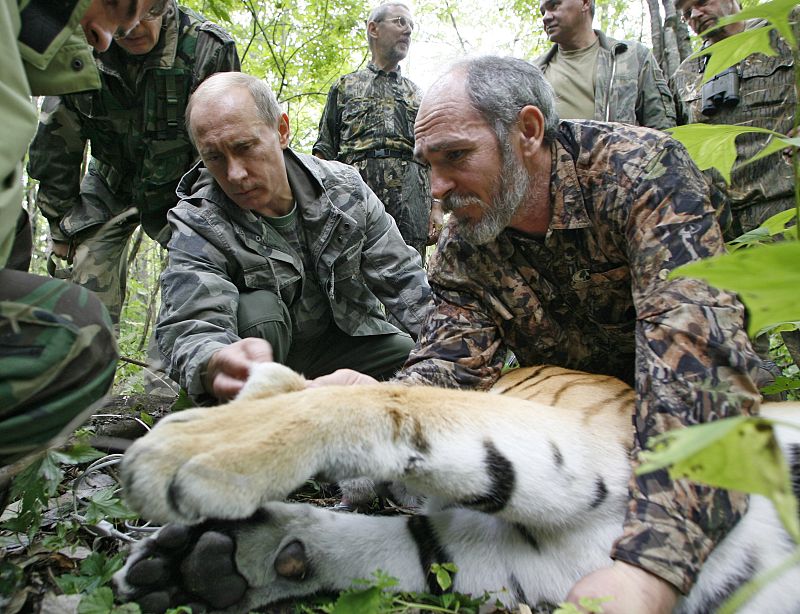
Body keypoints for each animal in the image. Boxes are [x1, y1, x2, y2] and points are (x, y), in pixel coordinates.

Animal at [114, 362, 800, 613]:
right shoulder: (542, 559)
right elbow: (404, 544)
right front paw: (207, 565)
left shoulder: (590, 449)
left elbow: (387, 395)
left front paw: (202, 444)